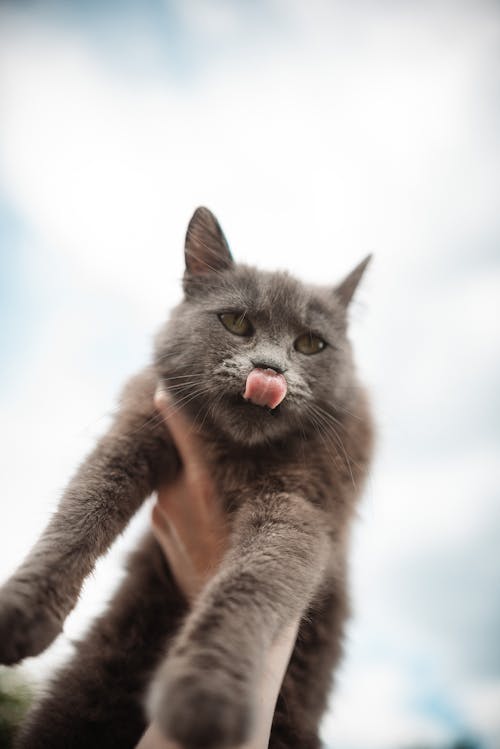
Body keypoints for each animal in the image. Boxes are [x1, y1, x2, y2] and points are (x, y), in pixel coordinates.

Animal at [0, 207, 372, 748]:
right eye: (236, 322)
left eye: (309, 344)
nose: (270, 370)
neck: (232, 452)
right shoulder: (136, 431)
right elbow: (82, 510)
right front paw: (21, 610)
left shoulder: (303, 504)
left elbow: (251, 581)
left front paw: (204, 694)